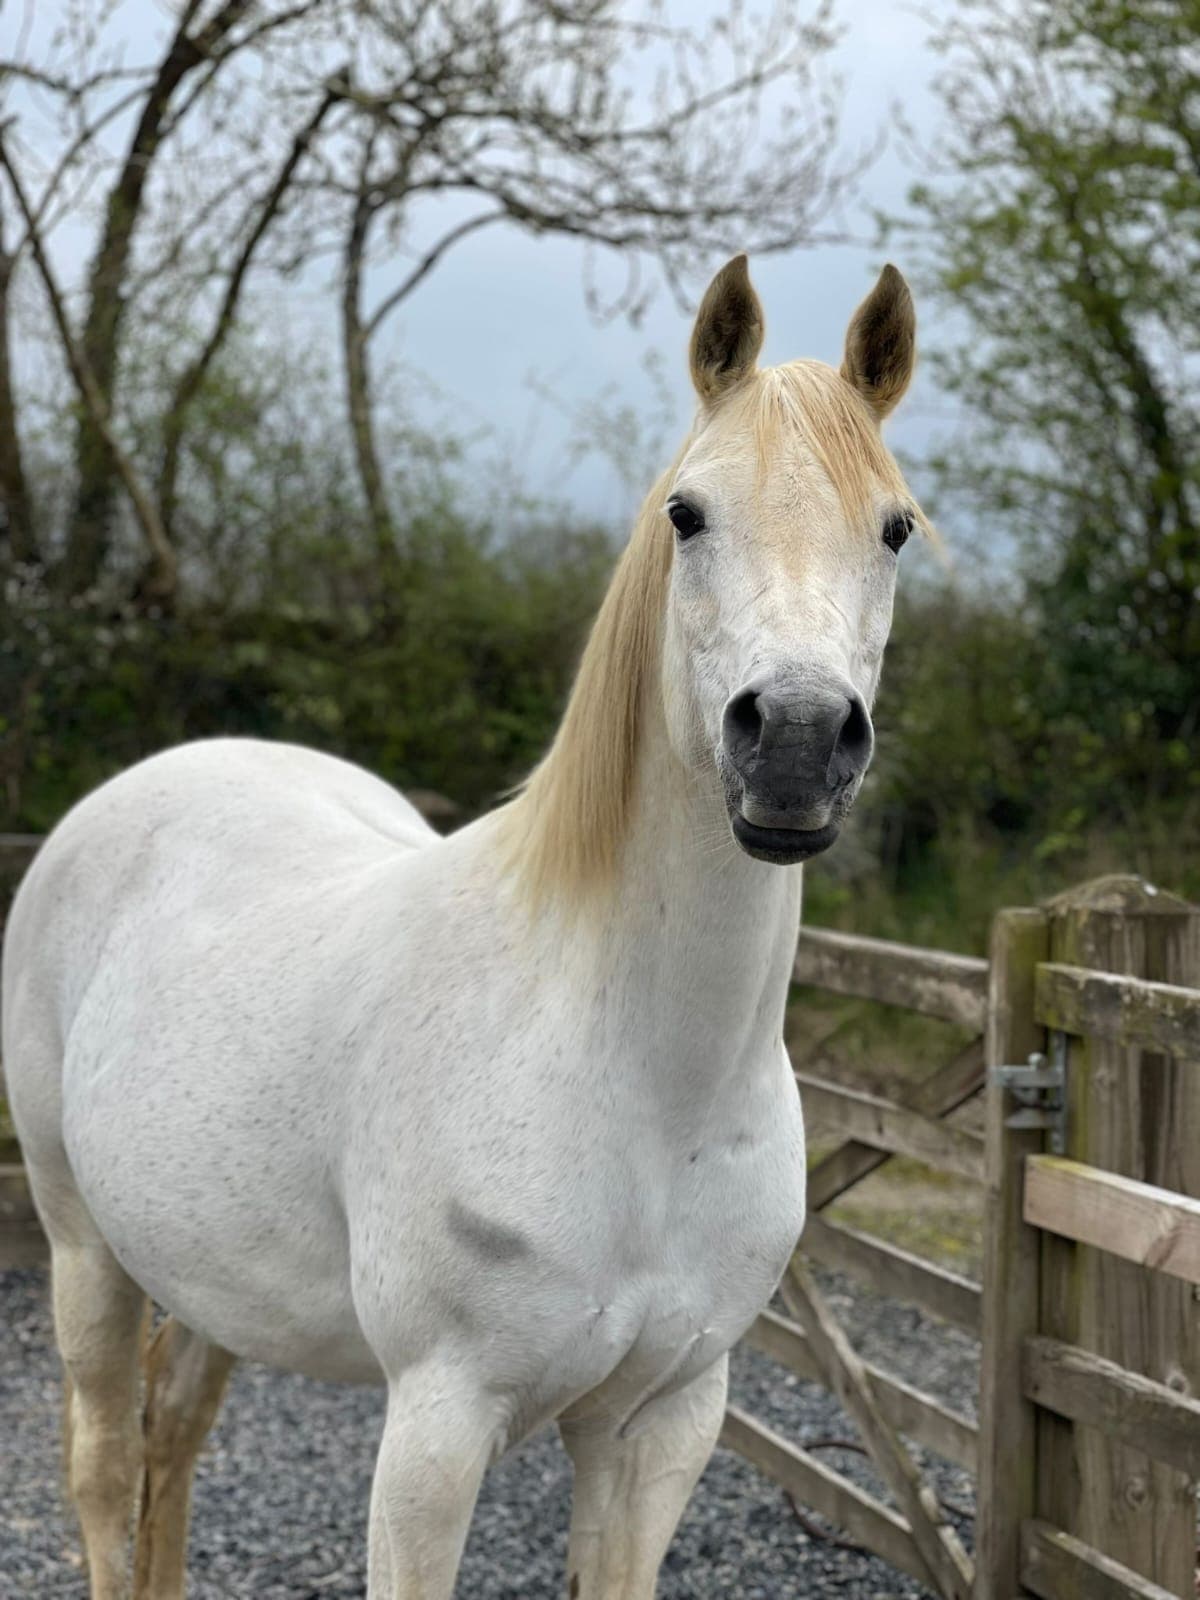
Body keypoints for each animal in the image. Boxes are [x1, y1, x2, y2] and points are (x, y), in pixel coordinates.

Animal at [2, 253, 921, 1600]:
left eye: (895, 526)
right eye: (686, 514)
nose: (797, 742)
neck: (648, 1082)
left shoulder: (662, 1423)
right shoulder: (437, 1427)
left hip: (211, 1271)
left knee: (174, 1436)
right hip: (84, 1253)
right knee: (107, 1476)